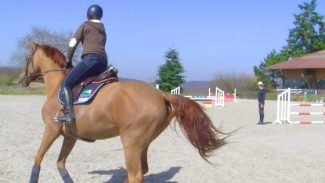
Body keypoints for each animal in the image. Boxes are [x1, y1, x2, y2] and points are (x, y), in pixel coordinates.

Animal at [19, 40, 228, 183]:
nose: (22, 78)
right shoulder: (69, 137)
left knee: (136, 175)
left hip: (130, 142)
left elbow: (38, 158)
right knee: (141, 170)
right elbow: (60, 163)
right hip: (143, 143)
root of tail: (161, 94)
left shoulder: (51, 130)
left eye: (27, 58)